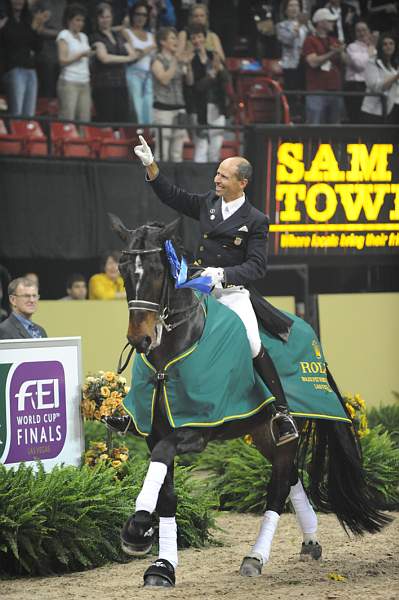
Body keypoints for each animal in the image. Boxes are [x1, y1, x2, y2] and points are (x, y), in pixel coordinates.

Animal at [106, 213, 390, 588]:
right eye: (124, 270)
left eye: (155, 270)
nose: (140, 339)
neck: (170, 354)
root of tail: (310, 334)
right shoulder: (155, 431)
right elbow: (167, 493)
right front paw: (161, 565)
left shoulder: (194, 430)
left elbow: (164, 456)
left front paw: (137, 527)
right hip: (263, 432)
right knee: (291, 477)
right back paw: (310, 540)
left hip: (284, 430)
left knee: (278, 487)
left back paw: (255, 557)